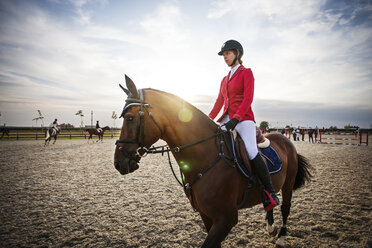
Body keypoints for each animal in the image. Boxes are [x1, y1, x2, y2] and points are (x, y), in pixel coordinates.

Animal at [115, 75, 312, 248]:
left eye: (130, 118)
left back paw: (281, 237)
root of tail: (285, 139)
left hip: (288, 184)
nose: (118, 163)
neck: (206, 158)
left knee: (285, 207)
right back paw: (271, 227)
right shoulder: (207, 216)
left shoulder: (226, 219)